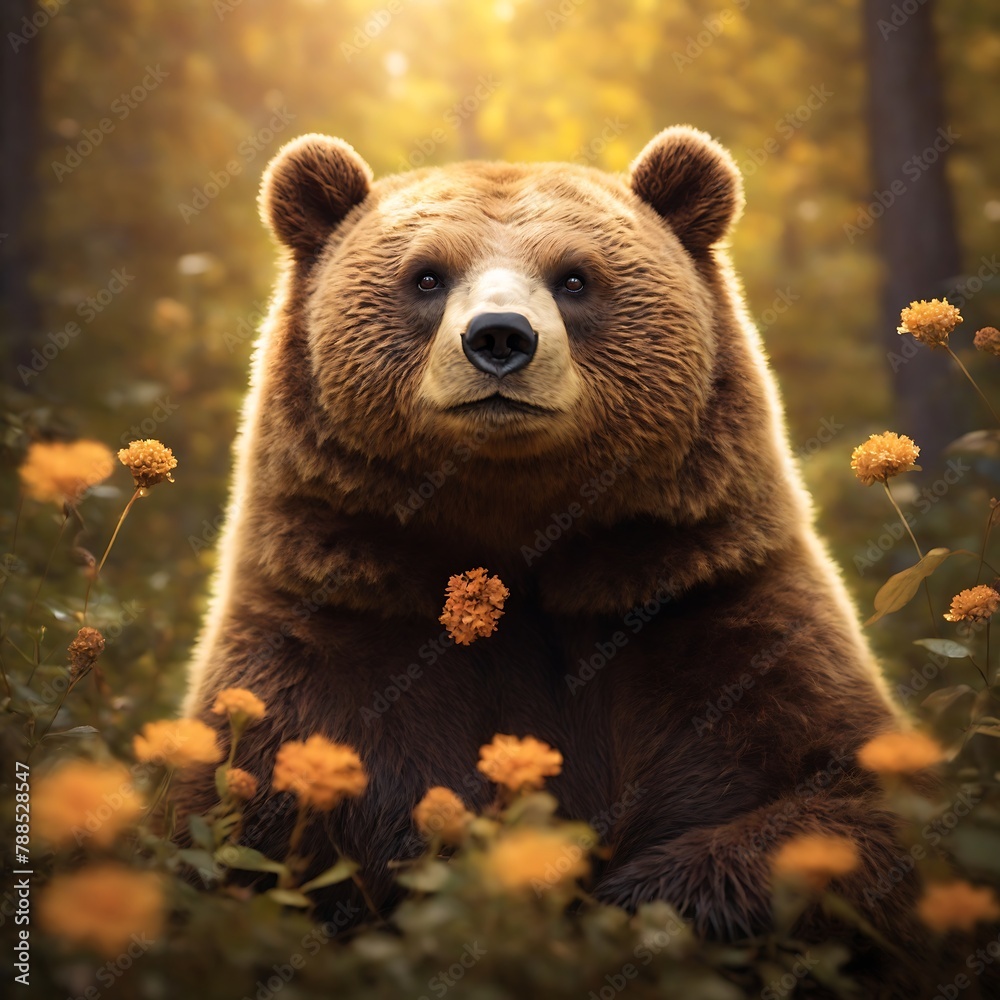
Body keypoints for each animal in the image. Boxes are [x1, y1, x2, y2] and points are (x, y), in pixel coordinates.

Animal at [177, 126, 923, 971]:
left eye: (574, 277)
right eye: (426, 275)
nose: (500, 338)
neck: (513, 527)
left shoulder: (704, 599)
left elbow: (840, 801)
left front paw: (621, 904)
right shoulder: (337, 629)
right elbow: (242, 823)